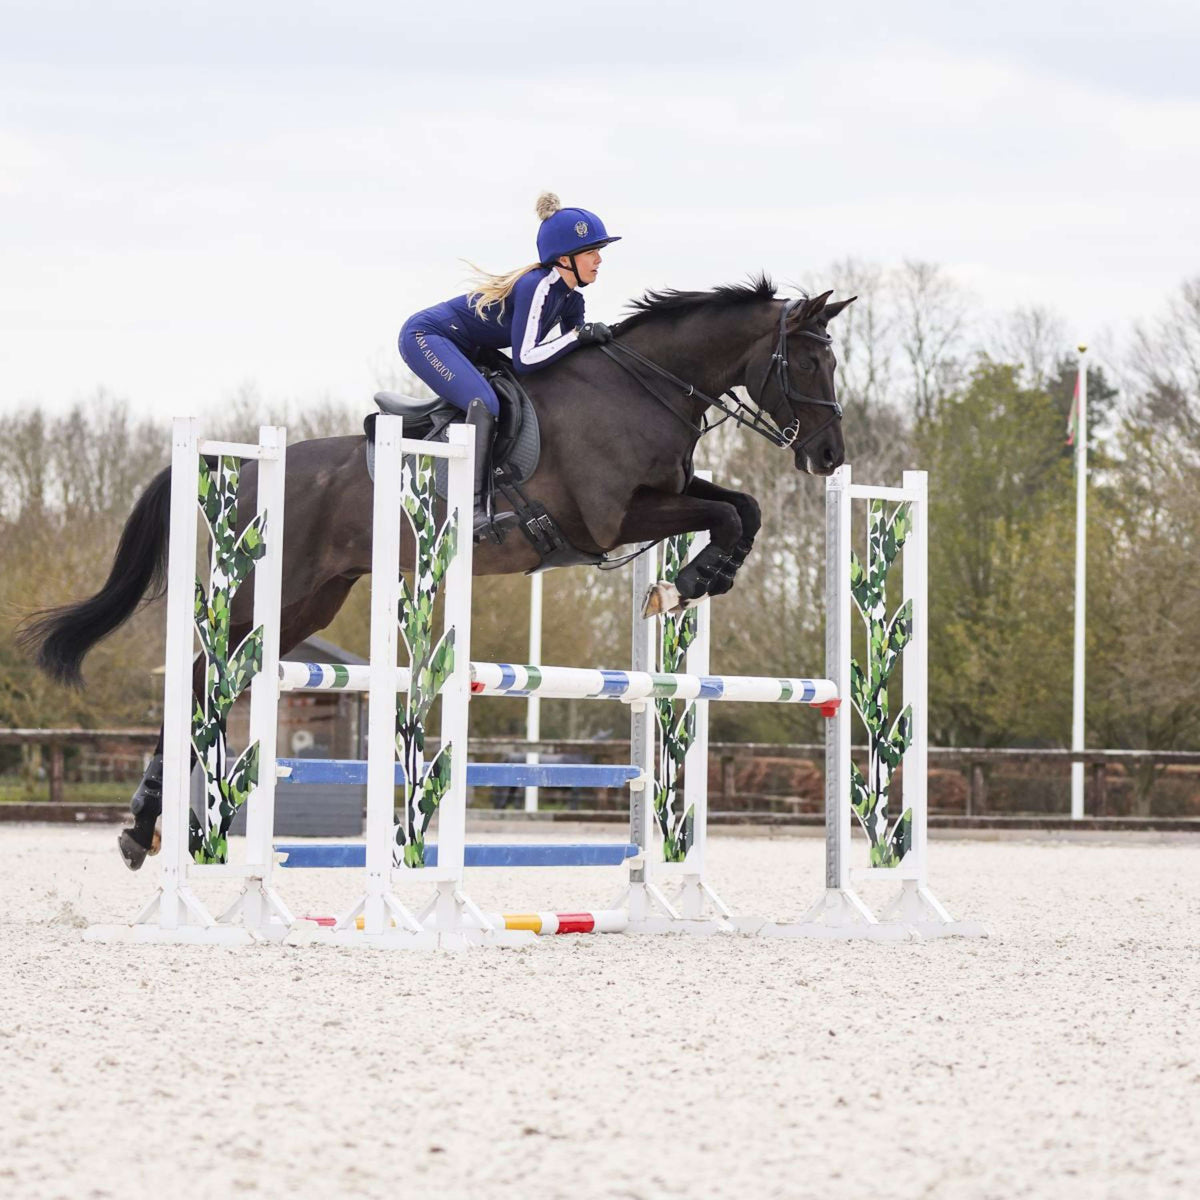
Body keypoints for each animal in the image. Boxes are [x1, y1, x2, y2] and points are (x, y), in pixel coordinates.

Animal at [18, 276, 854, 868]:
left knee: (222, 673)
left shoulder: (665, 496)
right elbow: (726, 514)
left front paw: (697, 581)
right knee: (199, 672)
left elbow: (741, 507)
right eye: (813, 361)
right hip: (266, 588)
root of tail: (246, 463)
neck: (643, 384)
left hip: (311, 603)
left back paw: (157, 823)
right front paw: (690, 580)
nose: (830, 456)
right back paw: (144, 824)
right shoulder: (614, 519)